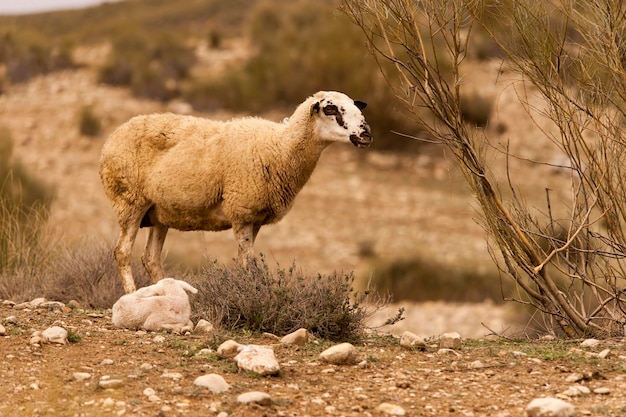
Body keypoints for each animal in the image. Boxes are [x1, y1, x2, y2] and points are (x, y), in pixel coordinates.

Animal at [98, 91, 370, 292]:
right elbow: (248, 264)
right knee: (122, 252)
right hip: (130, 200)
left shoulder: (256, 218)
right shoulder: (241, 212)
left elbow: (244, 262)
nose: (366, 133)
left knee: (151, 259)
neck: (280, 147)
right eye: (331, 109)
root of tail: (113, 138)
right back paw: (132, 296)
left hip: (159, 212)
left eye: (356, 107)